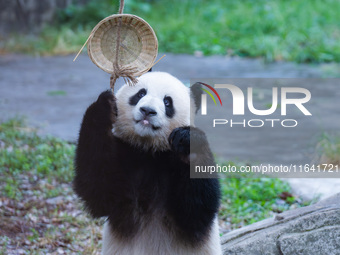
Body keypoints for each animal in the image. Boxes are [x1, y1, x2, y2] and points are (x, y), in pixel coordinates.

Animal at [73, 71, 222, 255]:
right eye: (140, 94)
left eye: (167, 102)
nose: (147, 111)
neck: (149, 149)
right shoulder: (126, 155)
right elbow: (98, 190)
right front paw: (104, 108)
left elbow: (196, 212)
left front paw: (186, 141)